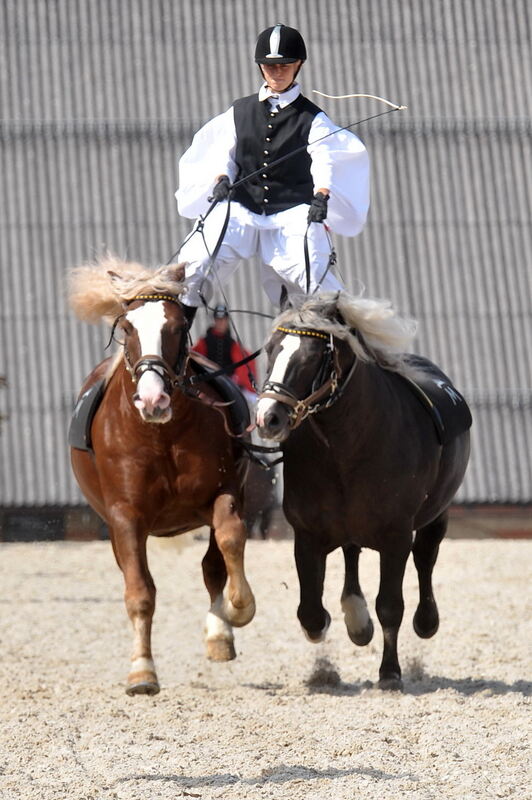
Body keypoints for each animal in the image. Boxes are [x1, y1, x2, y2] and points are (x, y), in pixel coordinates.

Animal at [68, 258, 256, 692]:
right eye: (127, 327)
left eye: (178, 326)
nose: (154, 399)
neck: (161, 434)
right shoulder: (125, 518)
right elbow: (139, 591)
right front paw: (142, 671)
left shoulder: (223, 492)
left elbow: (229, 541)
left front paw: (238, 610)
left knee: (212, 565)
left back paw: (220, 634)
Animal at [256, 290, 470, 692]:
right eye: (271, 350)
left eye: (313, 356)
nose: (267, 418)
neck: (348, 444)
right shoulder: (306, 535)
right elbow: (310, 612)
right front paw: (341, 624)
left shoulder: (396, 537)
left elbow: (390, 605)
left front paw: (390, 673)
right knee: (352, 553)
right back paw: (357, 620)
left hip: (436, 516)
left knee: (425, 557)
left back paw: (425, 621)